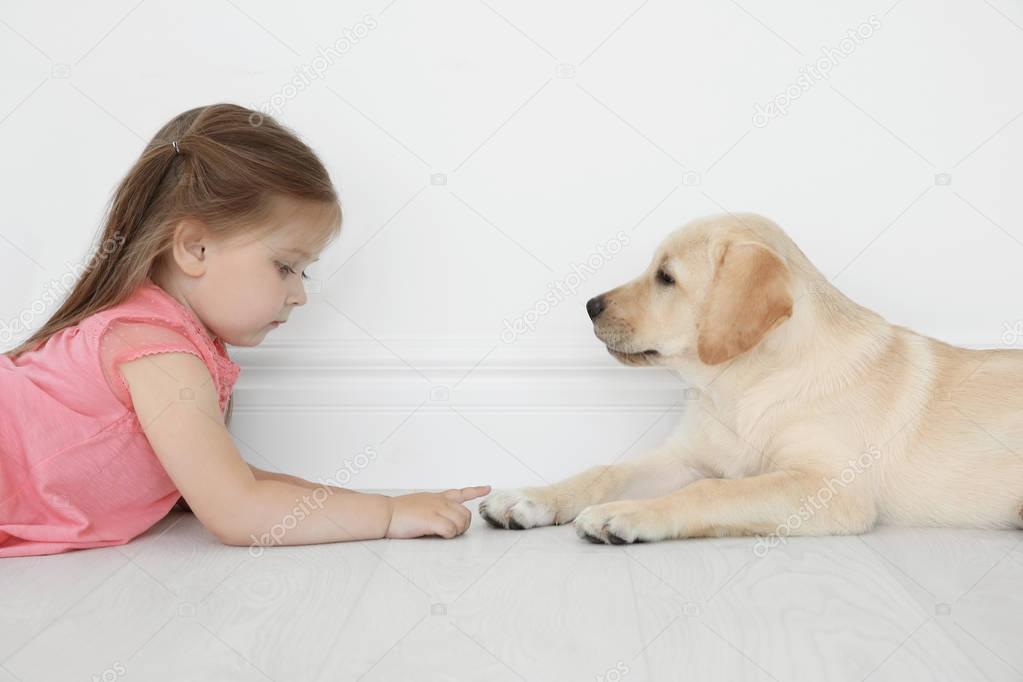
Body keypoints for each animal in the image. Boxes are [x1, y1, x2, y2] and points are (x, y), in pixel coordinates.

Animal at [476, 213, 1023, 543]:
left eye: (666, 277)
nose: (590, 305)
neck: (741, 387)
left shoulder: (829, 490)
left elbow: (712, 492)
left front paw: (628, 513)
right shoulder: (686, 457)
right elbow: (603, 472)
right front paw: (533, 498)